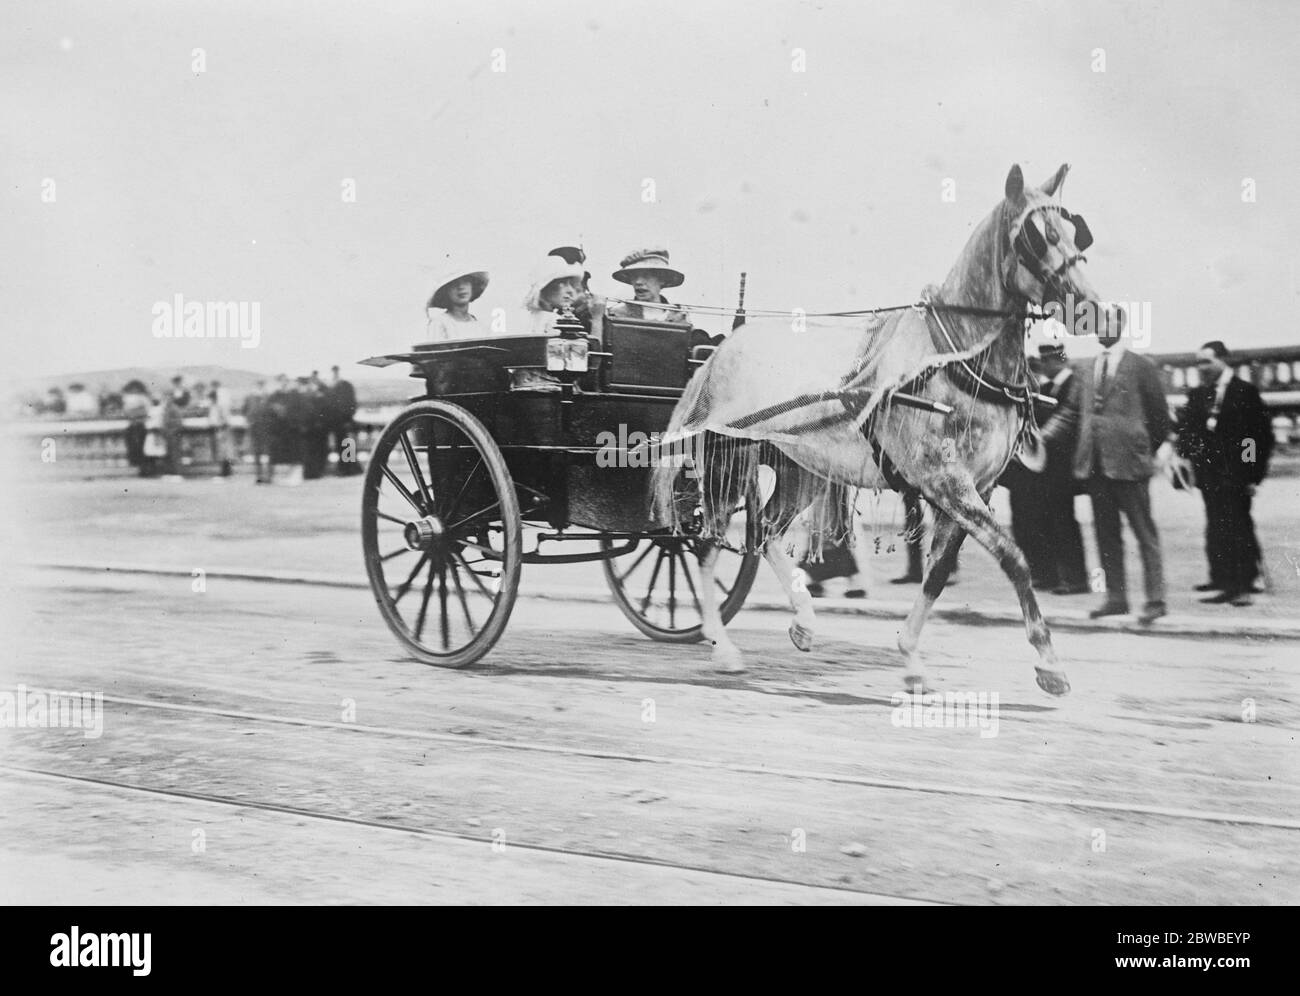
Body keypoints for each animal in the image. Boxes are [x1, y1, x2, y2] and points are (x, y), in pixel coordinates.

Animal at [655, 161, 1112, 696]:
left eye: (1077, 231)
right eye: (1037, 238)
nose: (1107, 314)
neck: (954, 359)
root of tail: (719, 351)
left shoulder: (977, 486)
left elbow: (938, 572)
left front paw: (911, 658)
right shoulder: (947, 481)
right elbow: (1013, 557)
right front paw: (1049, 663)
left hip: (800, 470)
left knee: (764, 531)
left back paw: (803, 622)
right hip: (726, 463)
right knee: (706, 545)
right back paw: (722, 647)